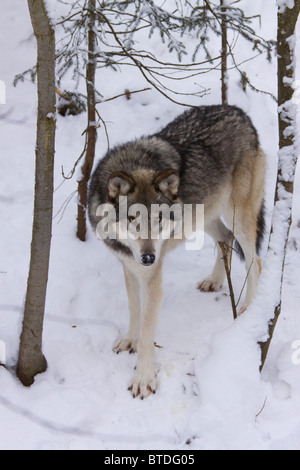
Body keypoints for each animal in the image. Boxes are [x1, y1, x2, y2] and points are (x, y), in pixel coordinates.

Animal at [88, 104, 266, 398]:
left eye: (159, 219)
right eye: (133, 219)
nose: (149, 257)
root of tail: (239, 112)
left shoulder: (151, 277)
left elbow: (148, 332)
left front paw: (143, 379)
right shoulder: (129, 265)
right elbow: (134, 308)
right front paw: (130, 339)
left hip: (237, 216)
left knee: (255, 262)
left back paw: (247, 310)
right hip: (206, 215)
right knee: (225, 239)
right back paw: (215, 281)